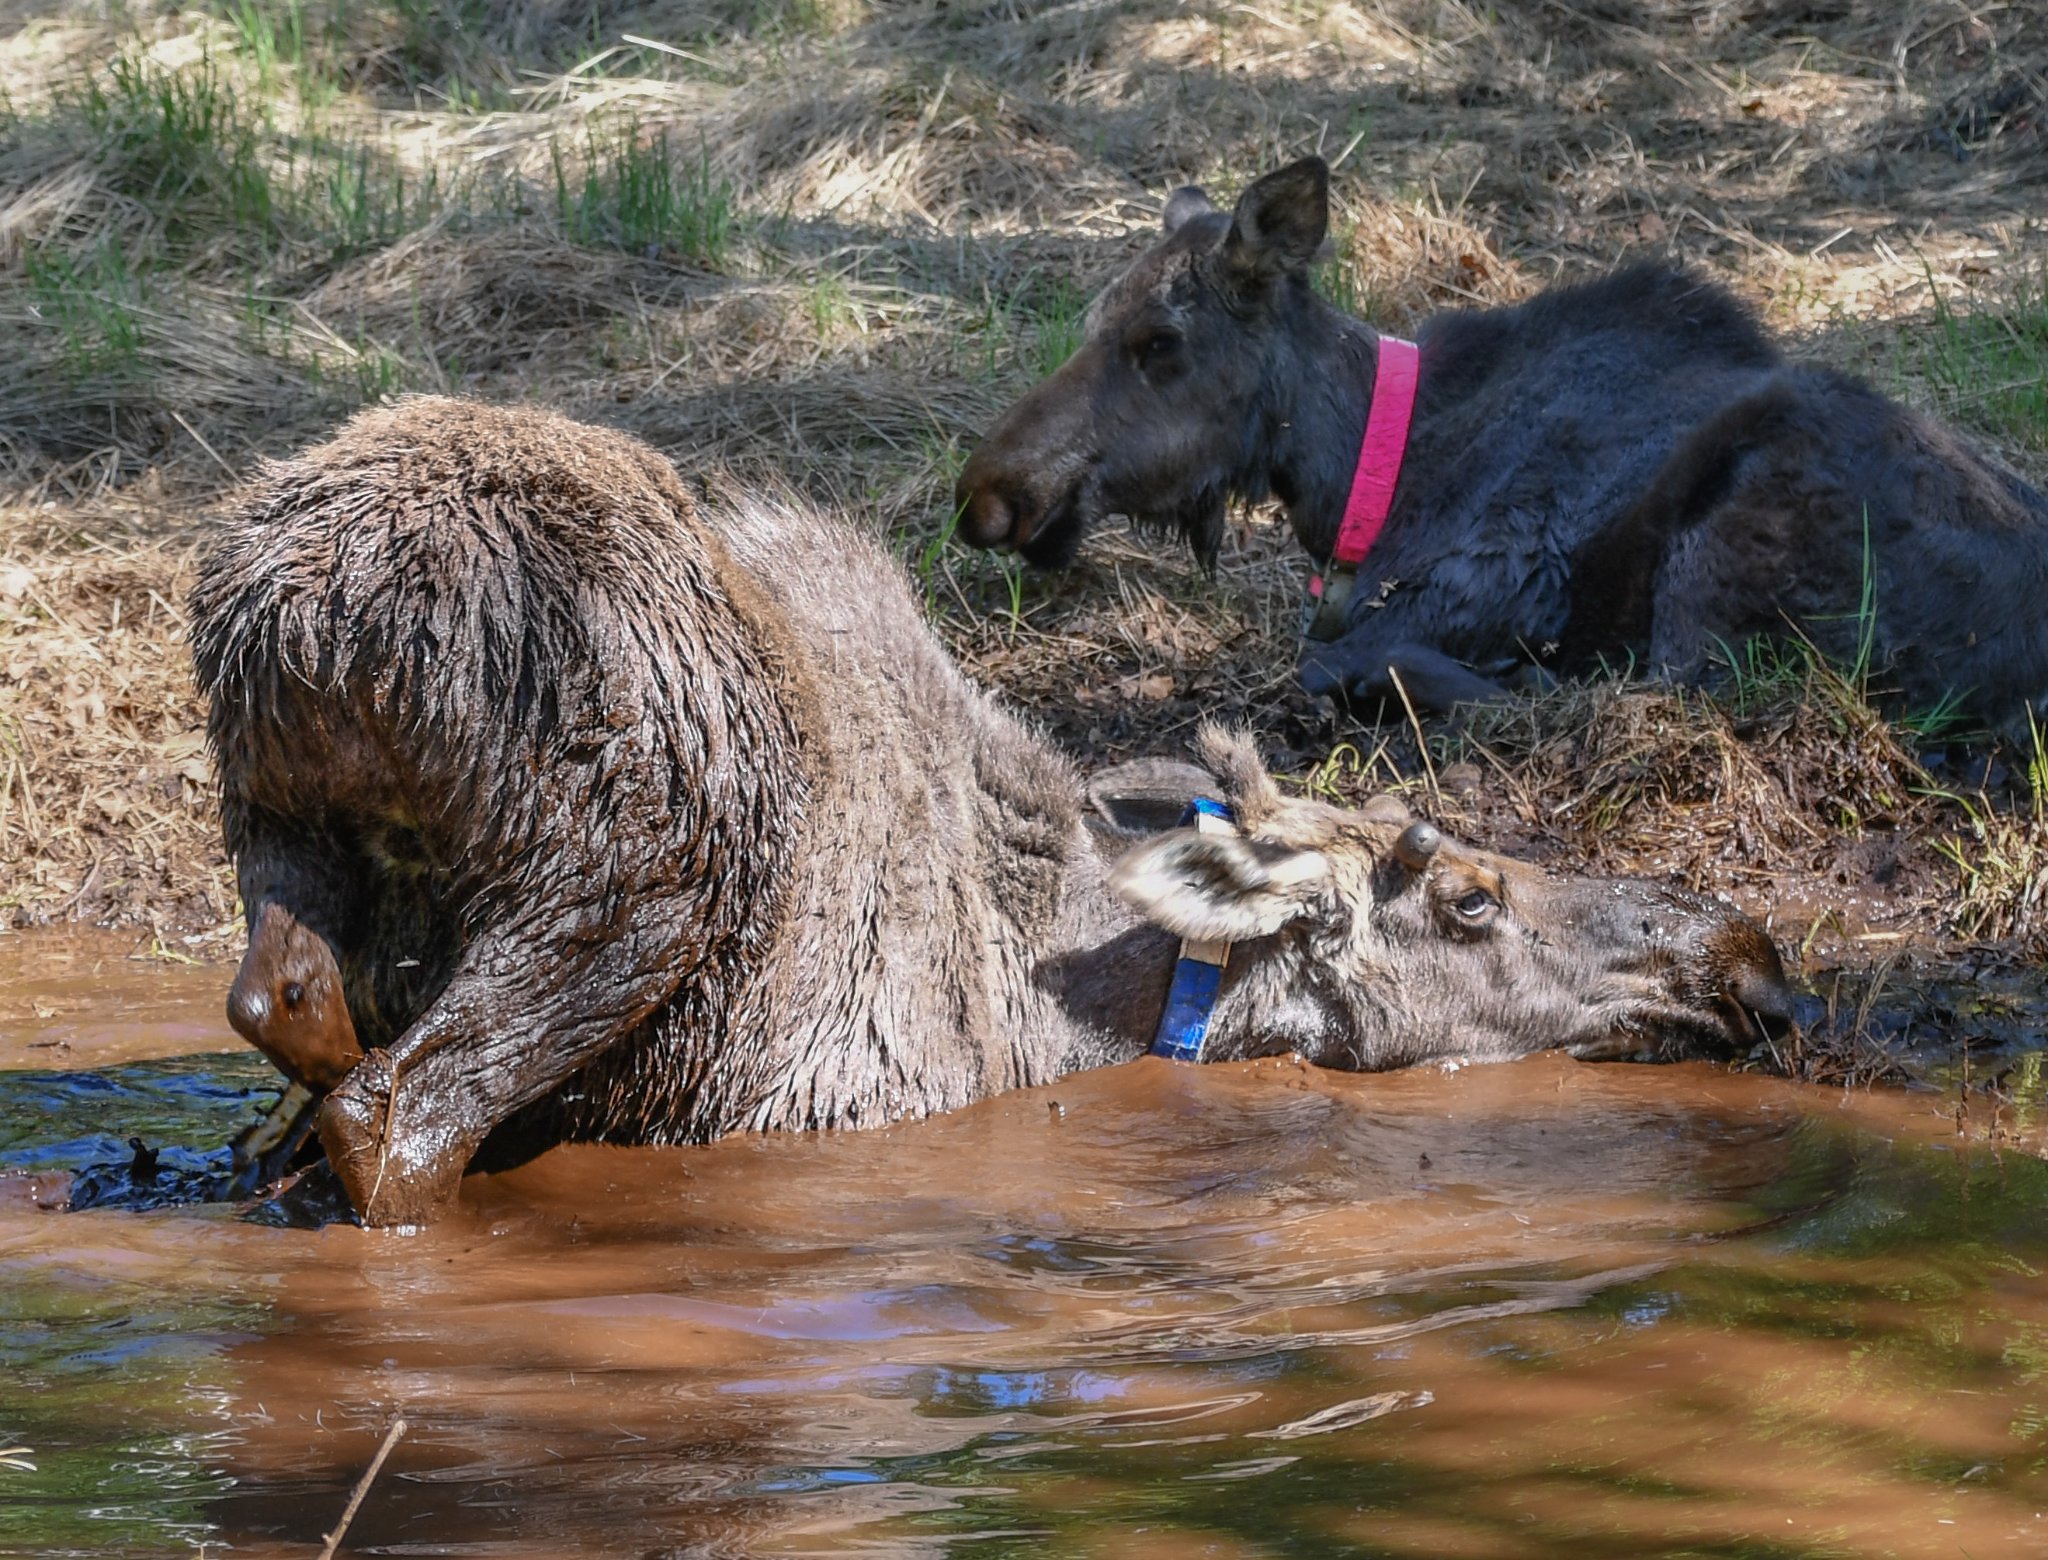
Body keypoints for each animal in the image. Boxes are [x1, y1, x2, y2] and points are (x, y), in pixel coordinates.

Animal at [192, 397, 1794, 1228]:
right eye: (1469, 896)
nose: (1746, 952)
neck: (1059, 985)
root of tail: (322, 600)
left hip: (277, 804)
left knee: (285, 998)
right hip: (631, 879)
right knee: (395, 1116)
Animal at [954, 154, 2048, 732]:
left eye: (1159, 341)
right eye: (1096, 317)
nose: (988, 496)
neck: (1352, 486)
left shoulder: (1492, 580)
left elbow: (1326, 652)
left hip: (1734, 544)